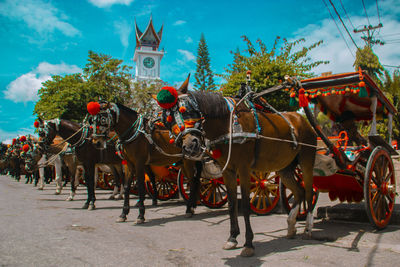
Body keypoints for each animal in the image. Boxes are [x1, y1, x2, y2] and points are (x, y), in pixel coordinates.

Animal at [85, 85, 202, 225]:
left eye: (102, 118)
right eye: (92, 120)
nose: (96, 142)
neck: (134, 133)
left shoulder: (139, 162)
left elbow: (141, 185)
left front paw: (141, 214)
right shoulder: (129, 164)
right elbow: (127, 185)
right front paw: (123, 213)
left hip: (188, 161)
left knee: (193, 181)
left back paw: (190, 208)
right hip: (183, 162)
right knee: (193, 180)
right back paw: (192, 205)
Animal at [156, 82, 316, 258]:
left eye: (187, 110)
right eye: (167, 120)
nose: (190, 146)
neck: (228, 125)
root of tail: (301, 120)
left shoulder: (244, 168)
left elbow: (245, 205)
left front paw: (248, 244)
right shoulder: (228, 171)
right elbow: (232, 204)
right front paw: (232, 238)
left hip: (307, 161)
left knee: (309, 192)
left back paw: (308, 229)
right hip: (284, 168)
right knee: (299, 192)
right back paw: (291, 226)